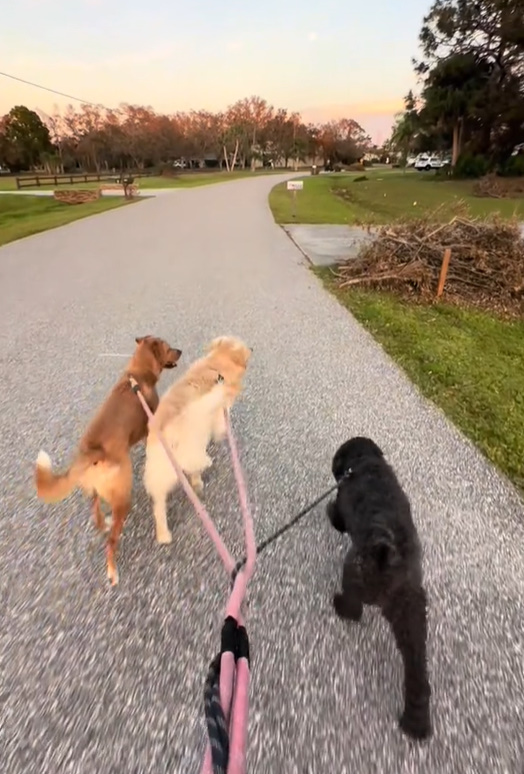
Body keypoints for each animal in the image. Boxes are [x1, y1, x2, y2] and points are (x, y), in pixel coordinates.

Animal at [34, 336, 182, 584]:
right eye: (168, 347)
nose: (179, 351)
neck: (137, 375)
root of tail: (93, 451)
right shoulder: (151, 423)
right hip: (123, 497)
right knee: (111, 541)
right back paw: (113, 572)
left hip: (94, 490)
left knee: (96, 512)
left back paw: (104, 524)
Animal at [142, 334, 251, 544]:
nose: (252, 348)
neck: (215, 366)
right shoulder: (219, 414)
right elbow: (220, 426)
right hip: (192, 447)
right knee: (194, 468)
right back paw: (199, 480)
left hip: (158, 473)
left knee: (159, 505)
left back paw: (163, 534)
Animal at [326, 440, 432, 744]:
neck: (365, 461)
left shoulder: (341, 504)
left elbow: (335, 515)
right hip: (412, 616)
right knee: (417, 674)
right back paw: (417, 722)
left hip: (353, 571)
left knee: (353, 607)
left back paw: (341, 606)